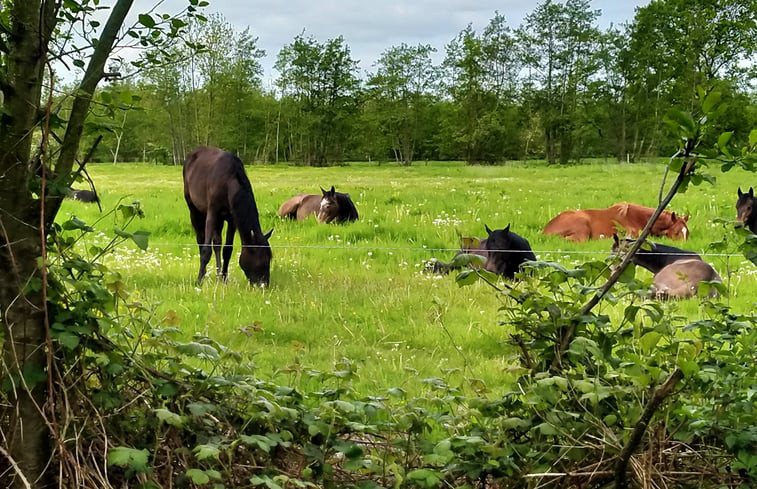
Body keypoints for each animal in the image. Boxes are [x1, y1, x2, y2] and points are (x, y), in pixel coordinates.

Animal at [182, 146, 272, 286]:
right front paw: (199, 279)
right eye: (260, 261)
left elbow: (227, 250)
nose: (264, 284)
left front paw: (224, 278)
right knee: (200, 239)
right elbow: (206, 250)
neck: (228, 182)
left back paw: (218, 274)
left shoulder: (232, 220)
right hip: (194, 209)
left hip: (219, 220)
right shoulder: (212, 214)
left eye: (269, 260)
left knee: (217, 244)